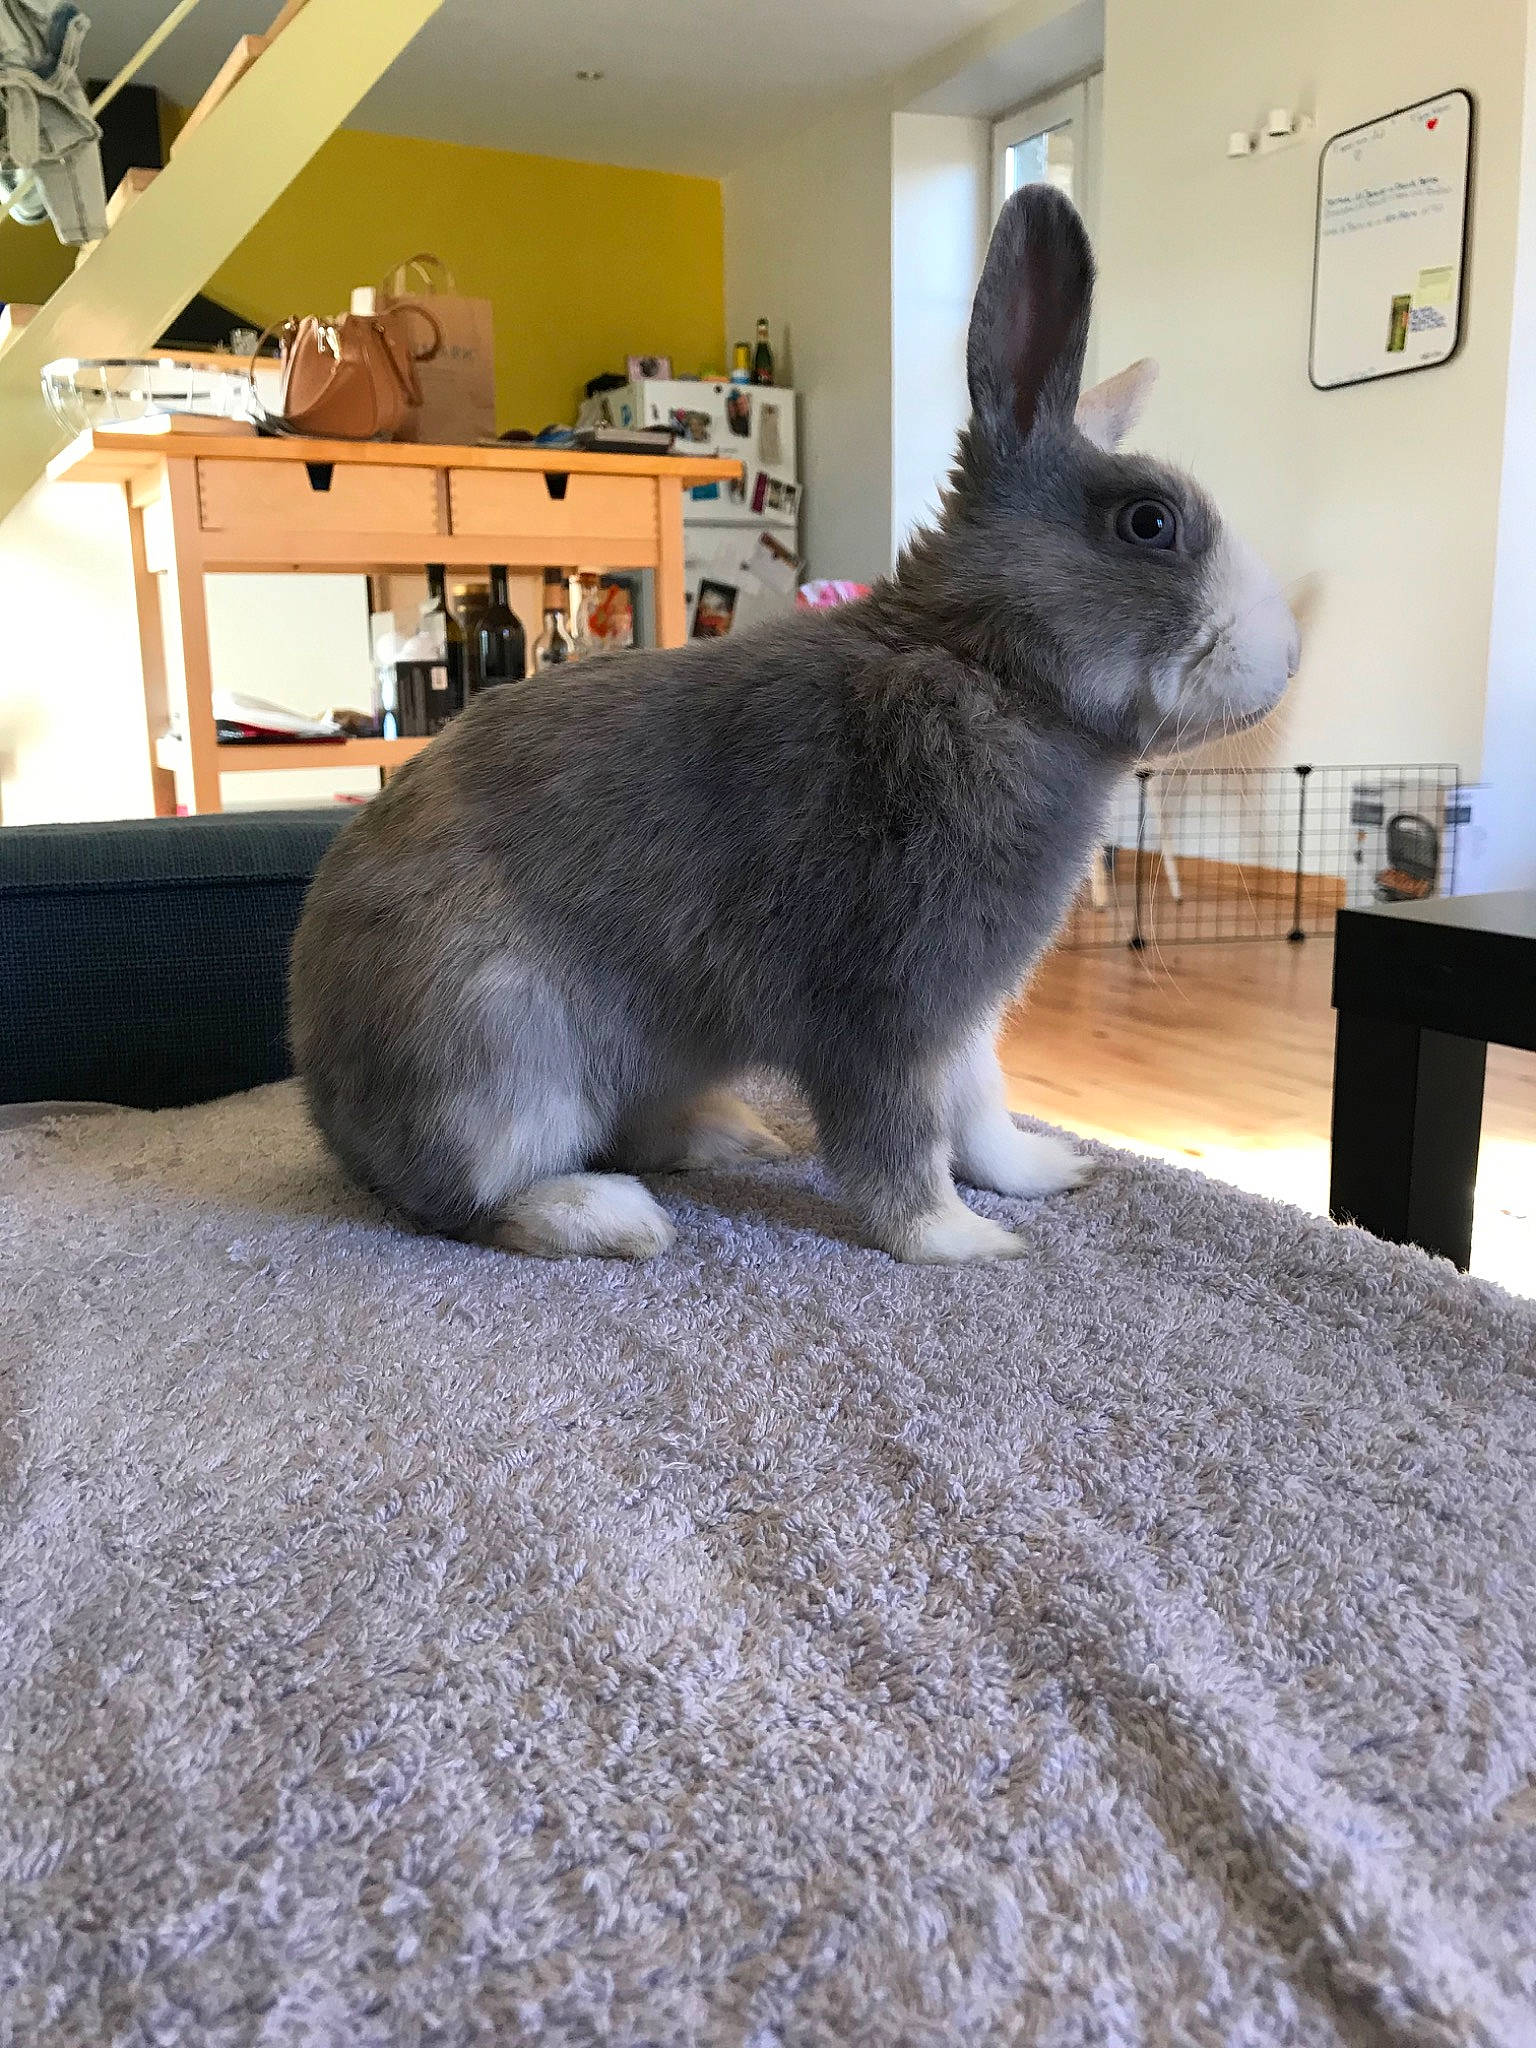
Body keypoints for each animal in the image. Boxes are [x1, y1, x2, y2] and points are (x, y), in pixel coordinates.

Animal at [290, 184, 1298, 1265]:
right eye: (1149, 523)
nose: (1285, 661)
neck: (983, 666)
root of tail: (331, 1108)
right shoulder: (886, 1003)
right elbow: (900, 1143)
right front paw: (962, 1242)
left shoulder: (965, 1017)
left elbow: (982, 1108)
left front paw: (1042, 1175)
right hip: (494, 1061)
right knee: (465, 1200)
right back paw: (613, 1215)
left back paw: (727, 1135)